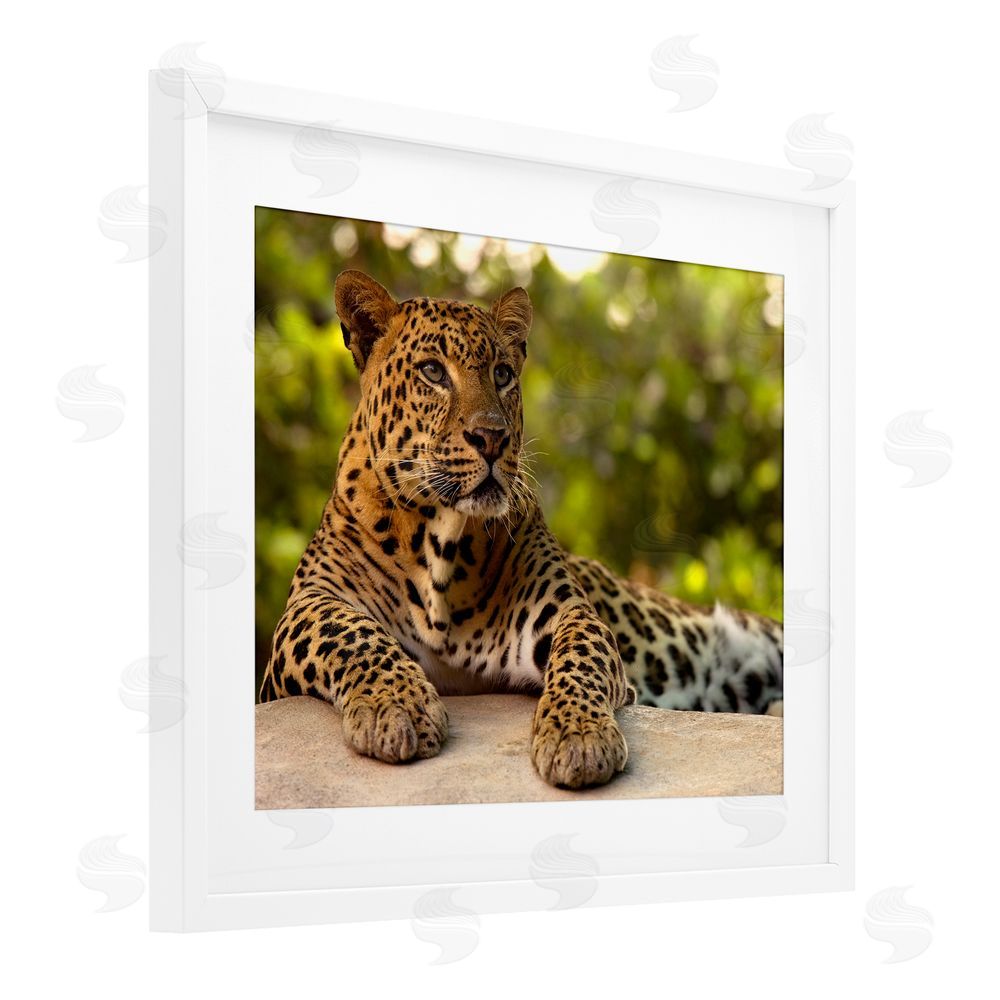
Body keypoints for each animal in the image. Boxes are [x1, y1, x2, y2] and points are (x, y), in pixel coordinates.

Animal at [259, 269, 783, 789]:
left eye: (502, 374)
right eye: (433, 372)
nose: (492, 437)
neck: (440, 541)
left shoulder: (565, 611)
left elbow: (581, 655)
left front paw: (579, 736)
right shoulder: (305, 609)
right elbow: (349, 632)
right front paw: (396, 706)